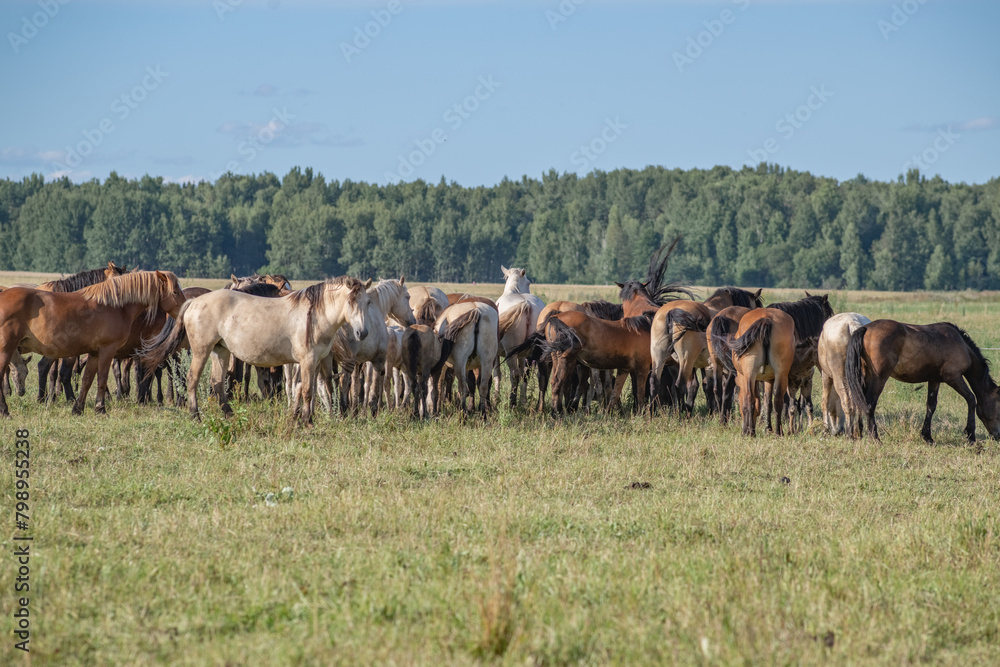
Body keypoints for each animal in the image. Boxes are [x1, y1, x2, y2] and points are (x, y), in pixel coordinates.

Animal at [141, 278, 372, 426]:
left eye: (368, 302)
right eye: (350, 301)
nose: (362, 333)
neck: (314, 316)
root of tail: (193, 302)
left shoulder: (315, 363)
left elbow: (311, 390)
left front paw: (305, 418)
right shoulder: (307, 361)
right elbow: (307, 391)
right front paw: (307, 422)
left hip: (220, 351)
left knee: (217, 382)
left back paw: (228, 414)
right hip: (201, 350)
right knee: (192, 379)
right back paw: (195, 415)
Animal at [494, 266, 544, 408]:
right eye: (529, 283)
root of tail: (527, 305)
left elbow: (497, 374)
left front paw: (495, 399)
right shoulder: (522, 354)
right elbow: (523, 373)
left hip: (511, 352)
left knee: (515, 375)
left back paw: (512, 402)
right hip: (532, 352)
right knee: (527, 374)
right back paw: (523, 401)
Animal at [728, 310, 796, 438]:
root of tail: (766, 318)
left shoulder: (744, 377)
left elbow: (749, 402)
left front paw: (747, 430)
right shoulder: (769, 379)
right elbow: (767, 403)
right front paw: (768, 428)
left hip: (749, 373)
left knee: (749, 398)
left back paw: (751, 433)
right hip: (781, 373)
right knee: (777, 400)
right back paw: (778, 432)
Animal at [844, 320, 1000, 446]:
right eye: (999, 406)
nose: (997, 436)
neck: (962, 346)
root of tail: (866, 328)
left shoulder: (934, 380)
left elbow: (931, 406)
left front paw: (927, 437)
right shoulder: (954, 378)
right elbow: (971, 399)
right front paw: (971, 436)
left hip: (865, 376)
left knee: (860, 401)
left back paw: (859, 434)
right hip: (879, 378)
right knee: (869, 404)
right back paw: (875, 438)